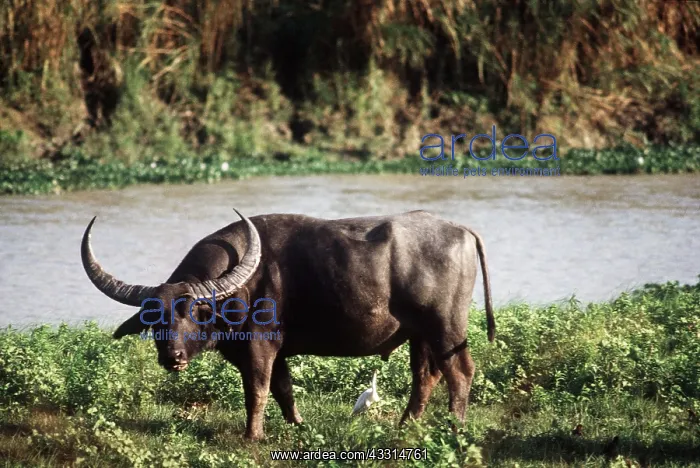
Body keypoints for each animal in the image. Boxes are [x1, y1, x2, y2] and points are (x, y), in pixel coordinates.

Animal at [81, 209, 495, 440]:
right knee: (426, 375)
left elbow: (257, 390)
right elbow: (284, 390)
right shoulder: (276, 353)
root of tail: (461, 230)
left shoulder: (260, 347)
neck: (240, 289)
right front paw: (298, 425)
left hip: (446, 327)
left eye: (196, 311)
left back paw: (455, 428)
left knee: (460, 371)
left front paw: (253, 435)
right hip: (419, 334)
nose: (173, 357)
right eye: (155, 317)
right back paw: (405, 426)